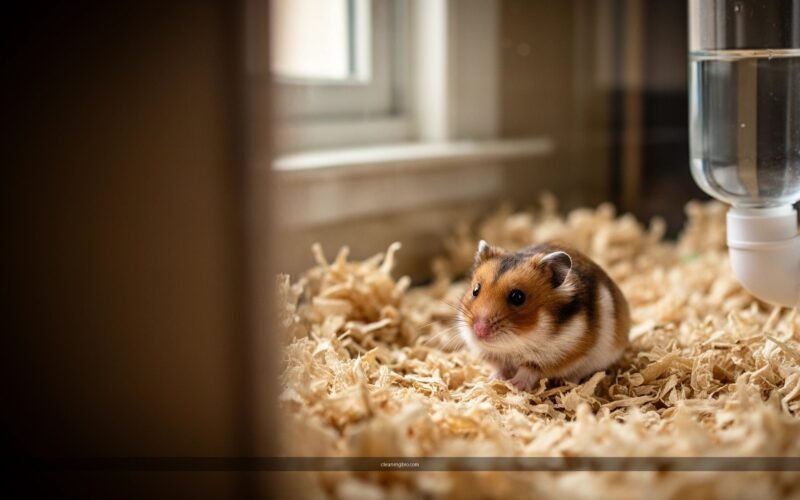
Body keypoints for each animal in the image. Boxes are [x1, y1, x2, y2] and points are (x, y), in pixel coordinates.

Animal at [457, 240, 630, 391]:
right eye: (475, 290)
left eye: (517, 297)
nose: (479, 331)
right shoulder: (492, 355)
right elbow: (500, 367)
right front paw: (494, 380)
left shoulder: (557, 355)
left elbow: (529, 369)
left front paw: (515, 386)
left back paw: (563, 382)